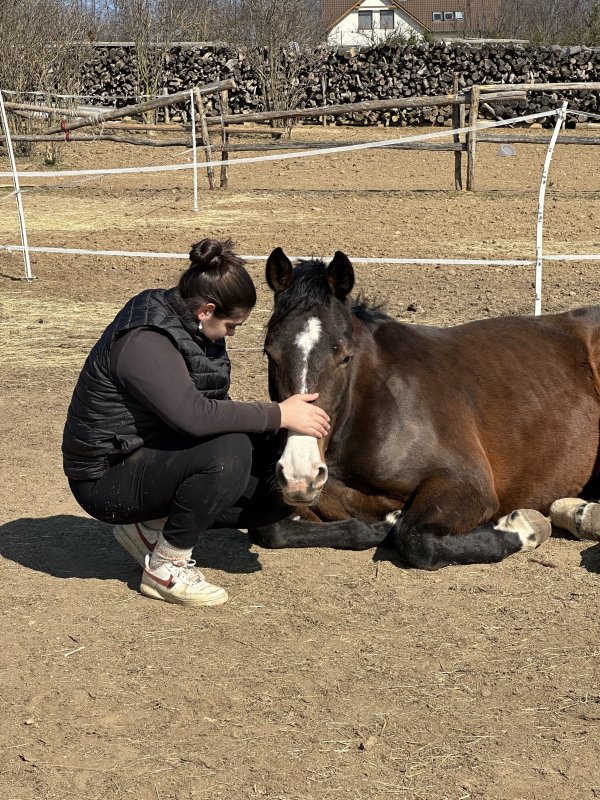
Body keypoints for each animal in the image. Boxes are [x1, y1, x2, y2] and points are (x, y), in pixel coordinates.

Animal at [248, 247, 600, 570]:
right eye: (269, 353)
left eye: (345, 357)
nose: (300, 475)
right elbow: (270, 529)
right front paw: (384, 522)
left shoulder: (466, 484)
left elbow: (416, 541)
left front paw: (522, 526)